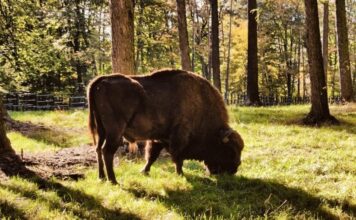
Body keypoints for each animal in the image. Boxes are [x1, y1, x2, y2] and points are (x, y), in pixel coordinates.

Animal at [88, 69, 245, 183]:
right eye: (230, 150)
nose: (235, 169)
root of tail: (101, 81)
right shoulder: (179, 138)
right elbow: (177, 157)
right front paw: (181, 174)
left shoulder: (159, 139)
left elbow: (152, 156)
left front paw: (144, 172)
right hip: (114, 132)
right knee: (107, 151)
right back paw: (113, 180)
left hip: (101, 130)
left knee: (98, 149)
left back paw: (101, 177)